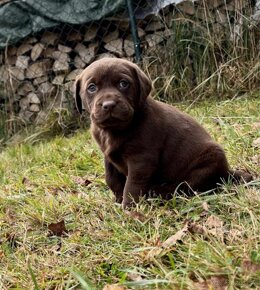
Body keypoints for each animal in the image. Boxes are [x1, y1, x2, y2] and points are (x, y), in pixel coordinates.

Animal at [74, 57, 252, 207]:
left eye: (123, 84)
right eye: (92, 88)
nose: (109, 105)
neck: (114, 130)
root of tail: (226, 172)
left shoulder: (142, 160)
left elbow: (132, 185)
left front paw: (129, 207)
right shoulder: (108, 156)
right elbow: (111, 179)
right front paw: (118, 200)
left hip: (209, 160)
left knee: (185, 185)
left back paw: (159, 192)